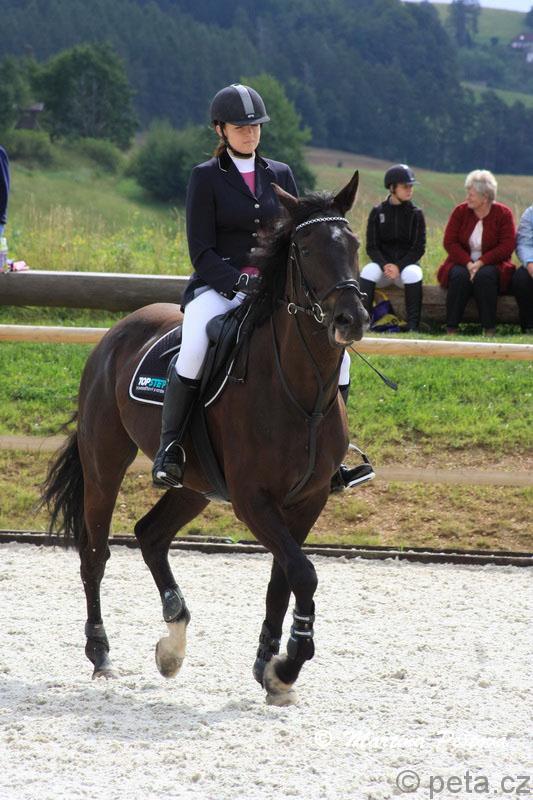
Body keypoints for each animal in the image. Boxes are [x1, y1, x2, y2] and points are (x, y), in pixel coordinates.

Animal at [42, 170, 368, 705]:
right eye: (304, 247)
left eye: (355, 243)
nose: (351, 319)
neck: (299, 390)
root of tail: (117, 330)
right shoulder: (253, 500)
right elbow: (303, 573)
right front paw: (289, 665)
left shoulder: (310, 498)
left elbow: (283, 579)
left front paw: (268, 666)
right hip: (105, 461)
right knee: (95, 553)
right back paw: (101, 654)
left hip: (194, 485)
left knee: (150, 535)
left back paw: (172, 641)